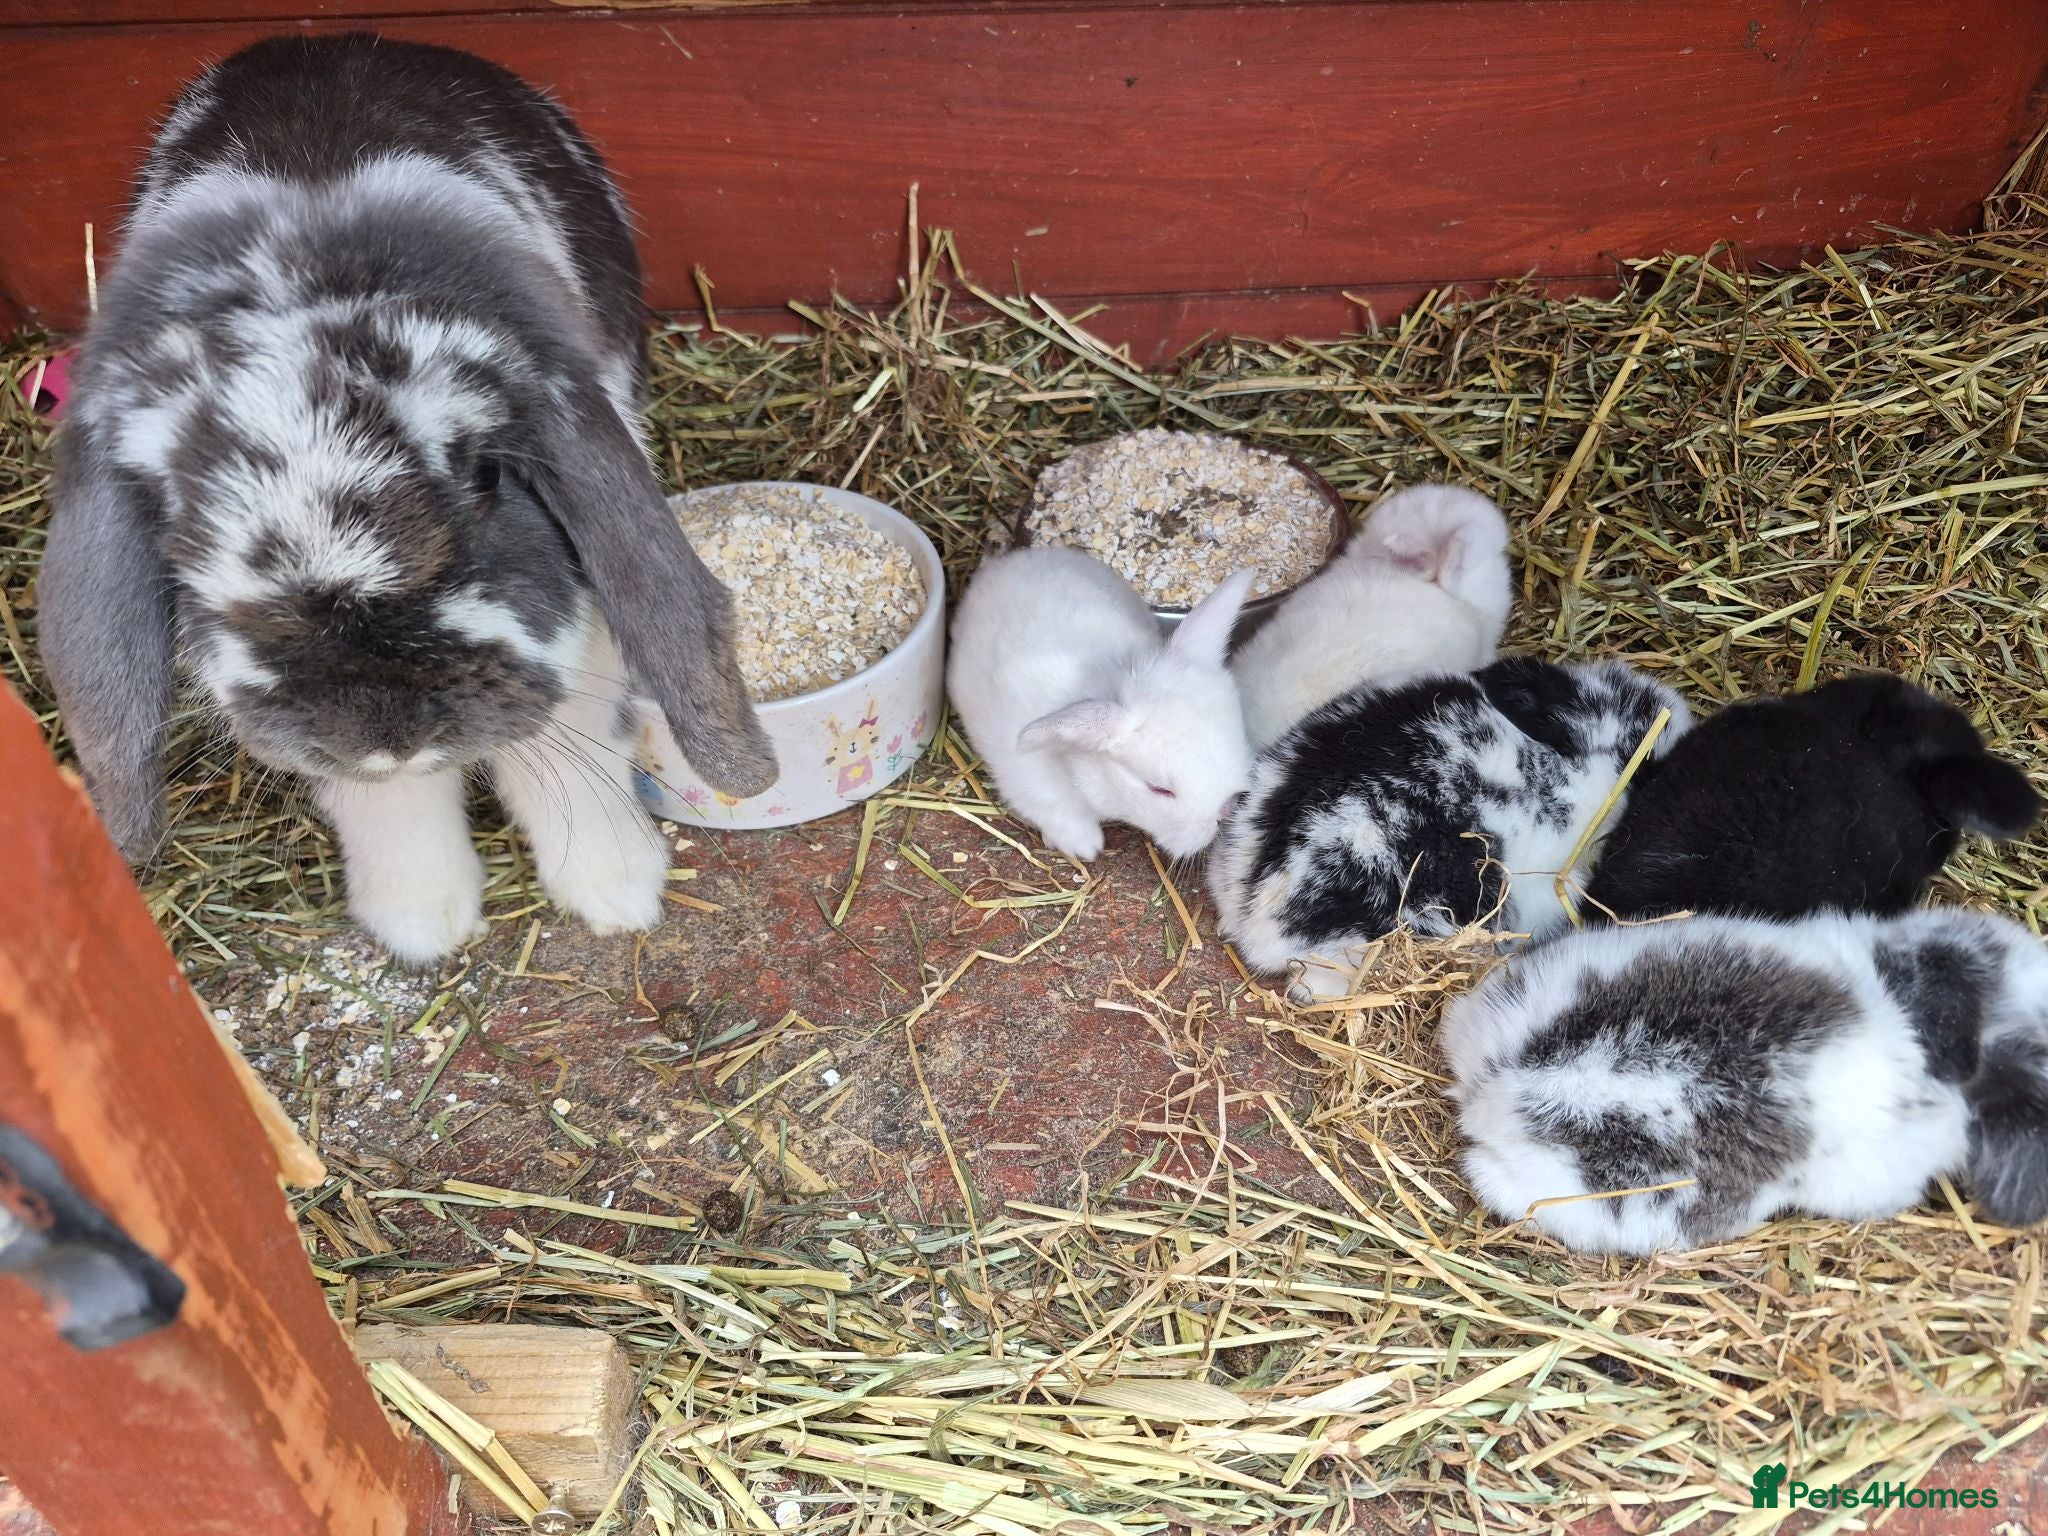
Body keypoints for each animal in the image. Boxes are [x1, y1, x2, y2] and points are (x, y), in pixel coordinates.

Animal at [36, 34, 775, 965]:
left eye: (485, 479)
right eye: (183, 535)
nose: (388, 734)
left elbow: (565, 750)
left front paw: (616, 891)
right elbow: (388, 805)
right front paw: (422, 922)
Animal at [947, 546, 1254, 861]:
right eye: (1159, 789)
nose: (1226, 810)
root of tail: (1007, 561)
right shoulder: (1027, 779)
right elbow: (1056, 811)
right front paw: (1085, 846)